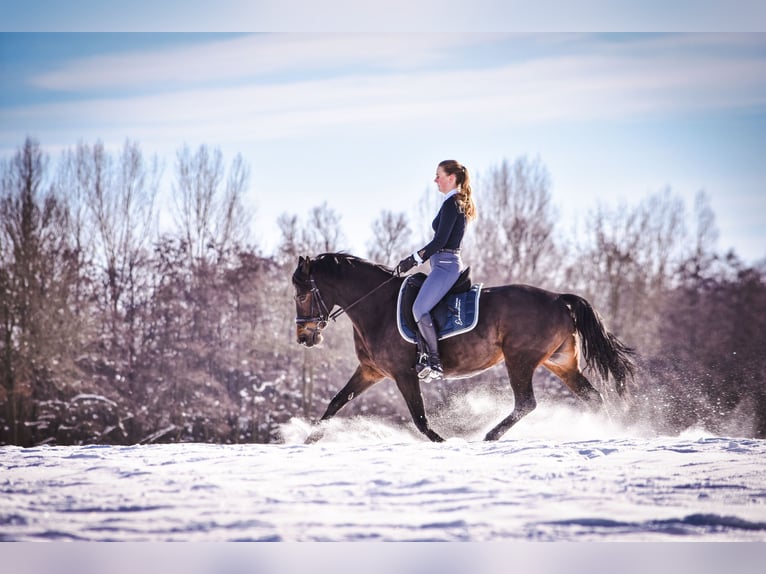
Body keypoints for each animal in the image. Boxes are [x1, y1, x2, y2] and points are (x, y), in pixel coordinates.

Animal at [294, 254, 636, 444]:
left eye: (301, 294)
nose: (303, 337)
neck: (377, 306)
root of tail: (558, 299)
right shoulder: (370, 371)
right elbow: (336, 402)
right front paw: (309, 439)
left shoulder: (403, 374)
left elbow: (420, 418)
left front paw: (444, 442)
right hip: (560, 362)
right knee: (592, 397)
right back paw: (609, 431)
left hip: (520, 360)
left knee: (526, 402)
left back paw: (489, 436)